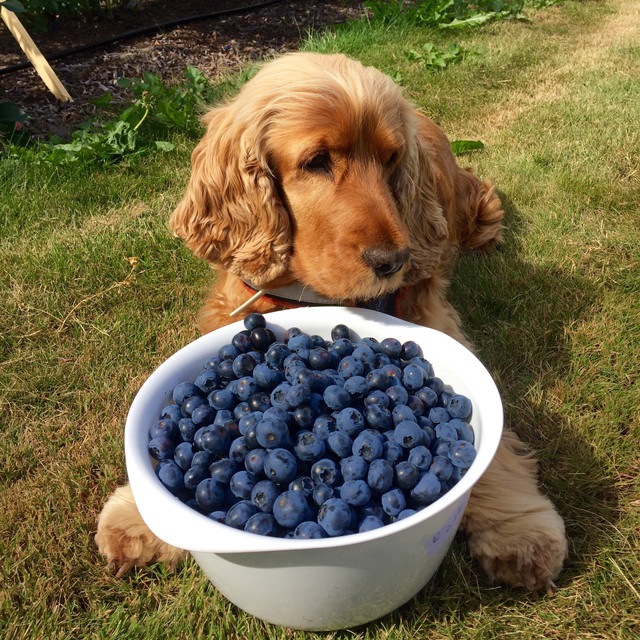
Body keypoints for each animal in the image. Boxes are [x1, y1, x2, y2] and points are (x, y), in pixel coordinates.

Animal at [95, 52, 564, 592]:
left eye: (390, 160)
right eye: (316, 161)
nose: (393, 260)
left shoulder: (432, 319)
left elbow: (498, 450)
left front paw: (520, 531)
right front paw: (137, 515)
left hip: (470, 208)